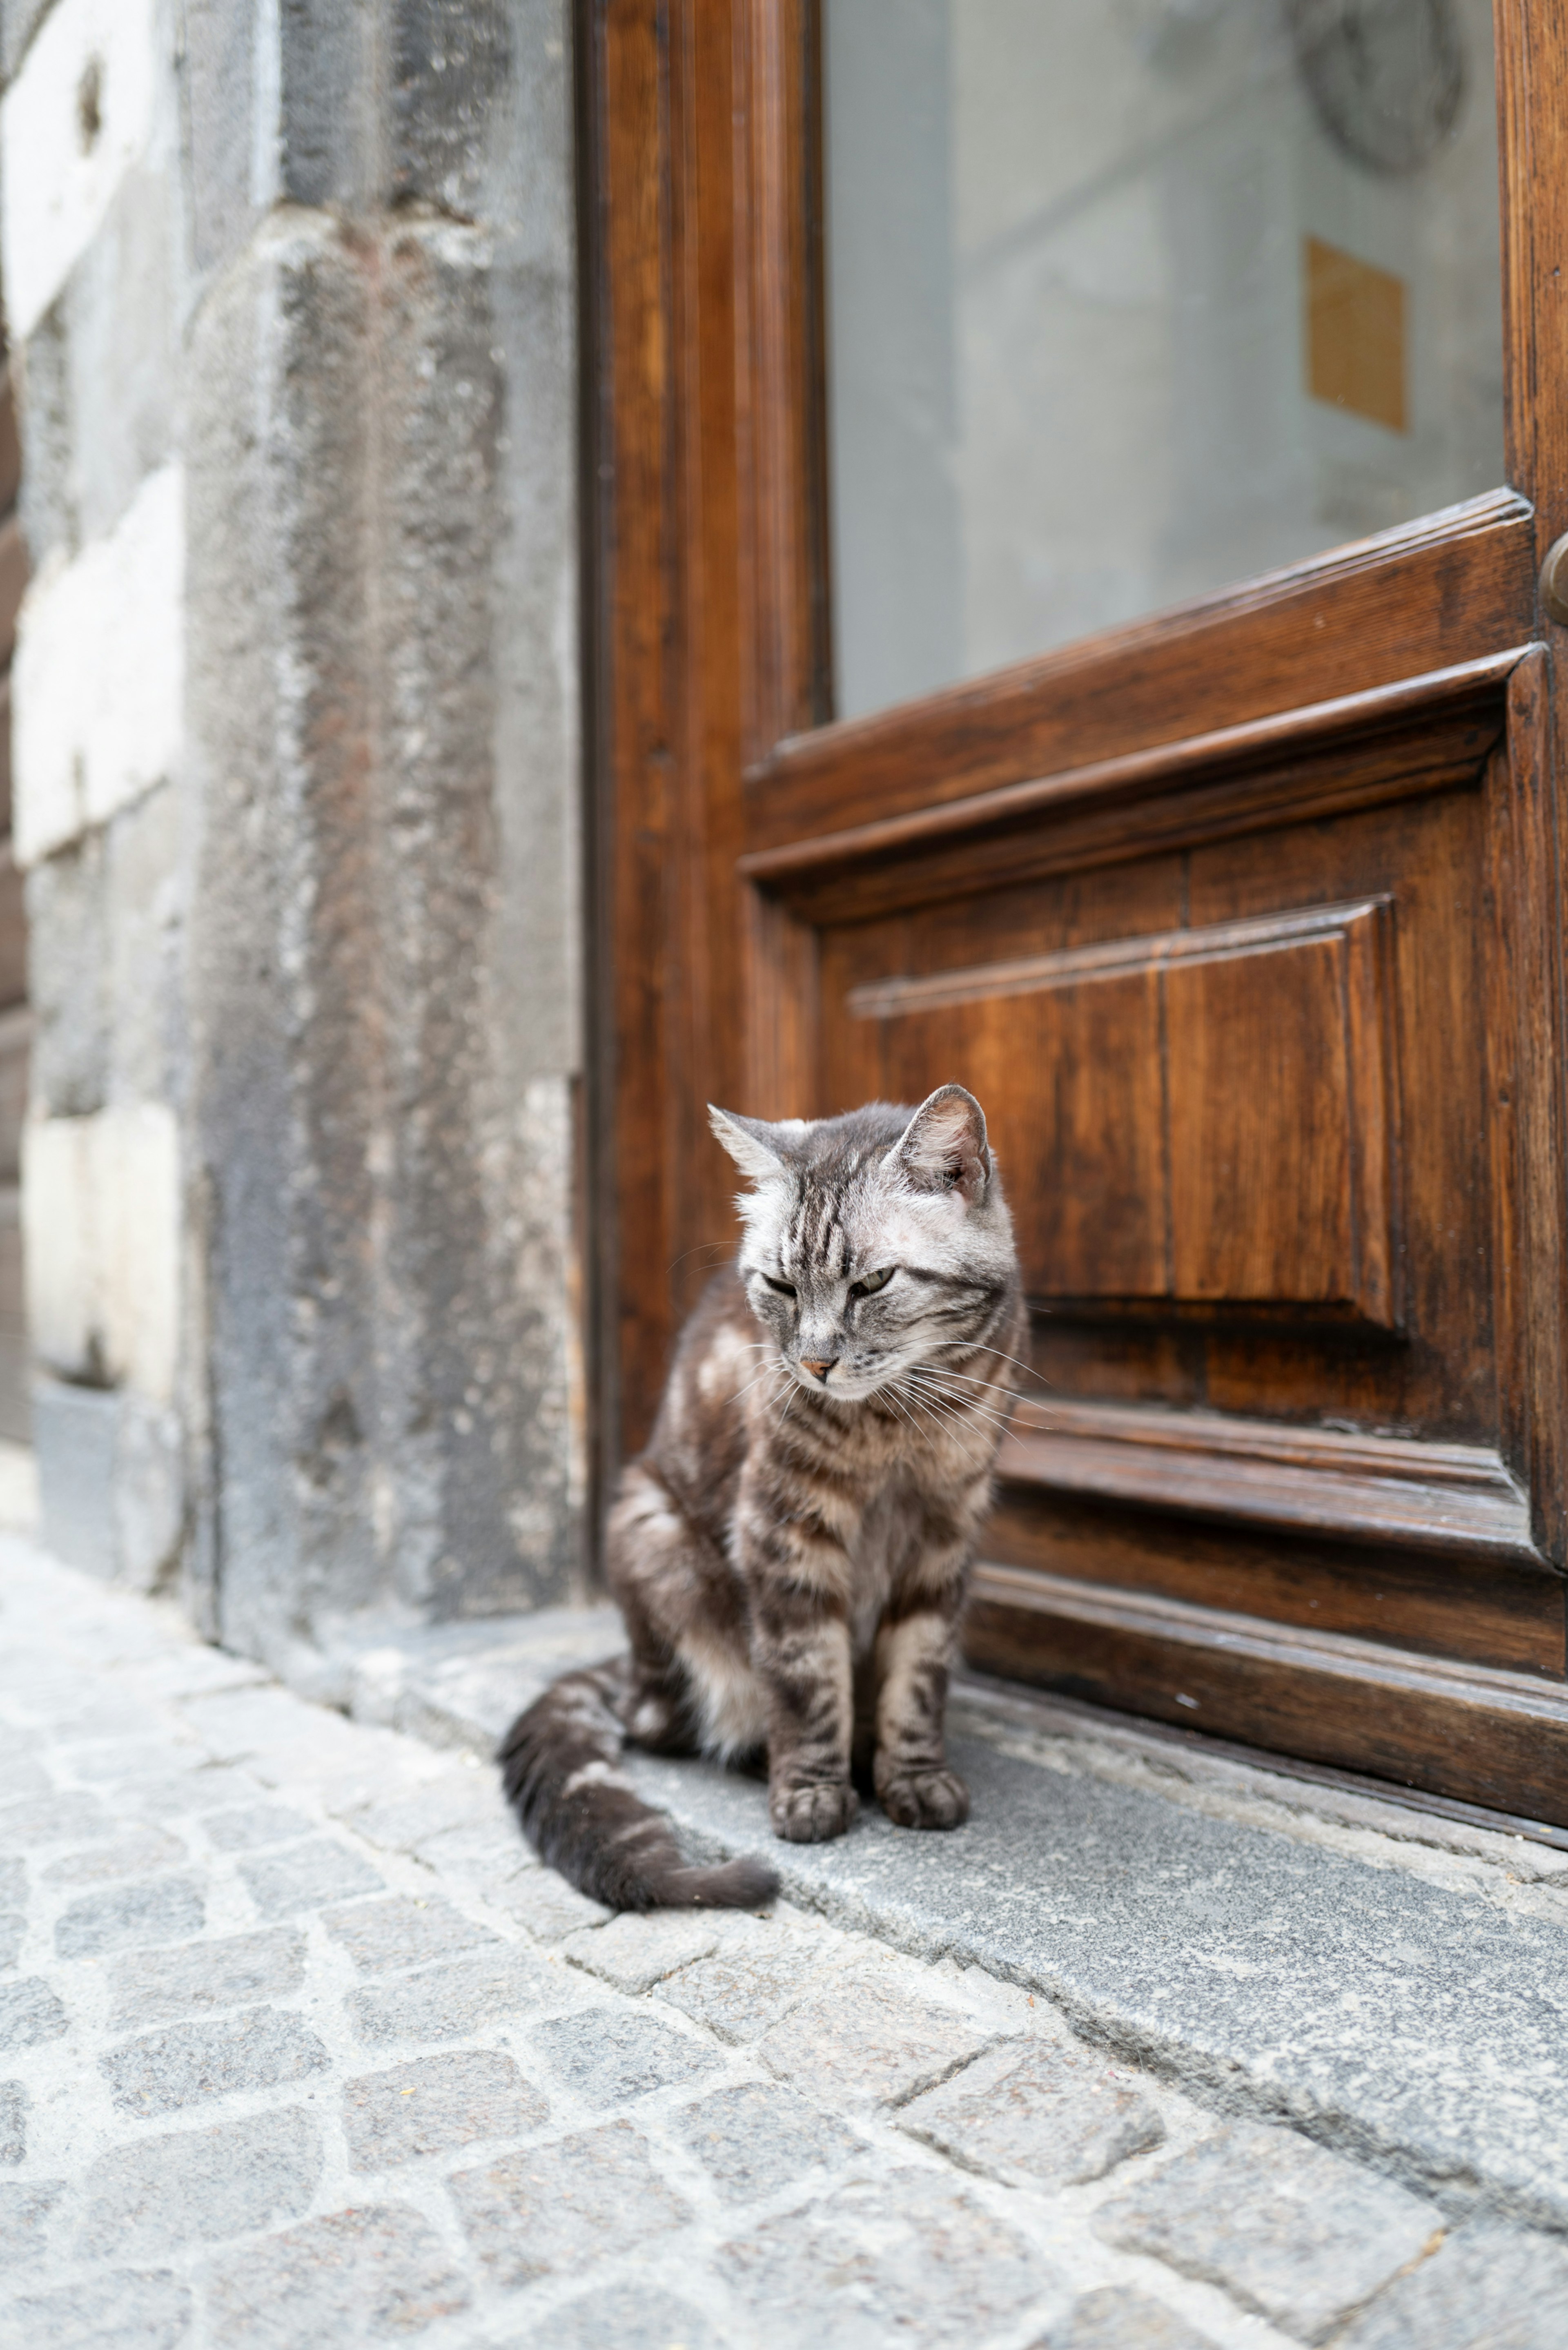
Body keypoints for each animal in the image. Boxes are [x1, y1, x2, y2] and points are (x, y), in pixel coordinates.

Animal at [496, 1081, 1025, 1908]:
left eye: (873, 1283)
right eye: (779, 1285)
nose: (814, 1363)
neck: (898, 1427)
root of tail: (630, 1667)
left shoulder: (945, 1537)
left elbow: (919, 1674)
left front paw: (915, 1776)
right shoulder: (783, 1530)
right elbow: (806, 1676)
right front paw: (812, 1792)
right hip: (655, 1540)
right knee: (675, 1722)